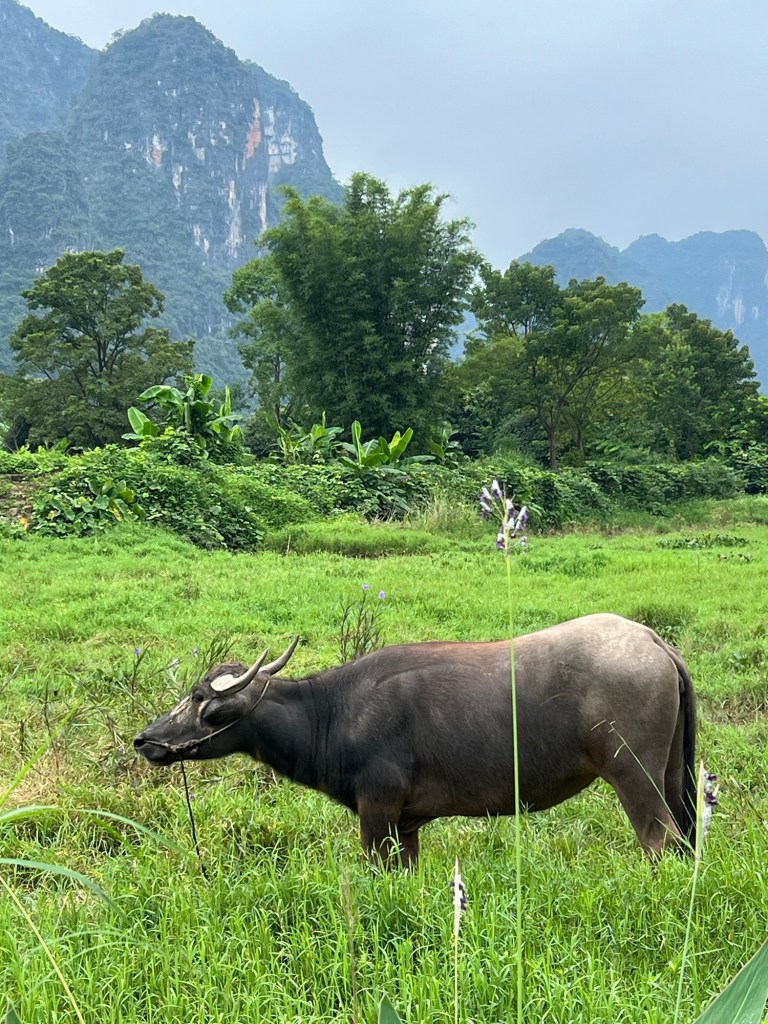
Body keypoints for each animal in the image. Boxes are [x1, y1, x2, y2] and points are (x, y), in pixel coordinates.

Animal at [134, 613, 697, 867]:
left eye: (200, 701)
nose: (146, 740)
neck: (331, 712)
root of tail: (654, 642)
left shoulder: (377, 810)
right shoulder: (407, 826)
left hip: (634, 775)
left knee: (660, 840)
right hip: (673, 774)